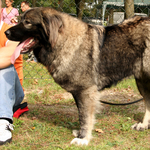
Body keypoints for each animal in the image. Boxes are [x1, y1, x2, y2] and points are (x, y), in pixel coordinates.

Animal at [4, 7, 150, 145]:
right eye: (20, 19)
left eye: (27, 22)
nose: (6, 33)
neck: (62, 41)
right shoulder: (78, 92)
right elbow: (81, 114)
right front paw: (81, 133)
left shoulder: (85, 91)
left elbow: (85, 117)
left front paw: (83, 138)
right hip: (142, 81)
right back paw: (143, 125)